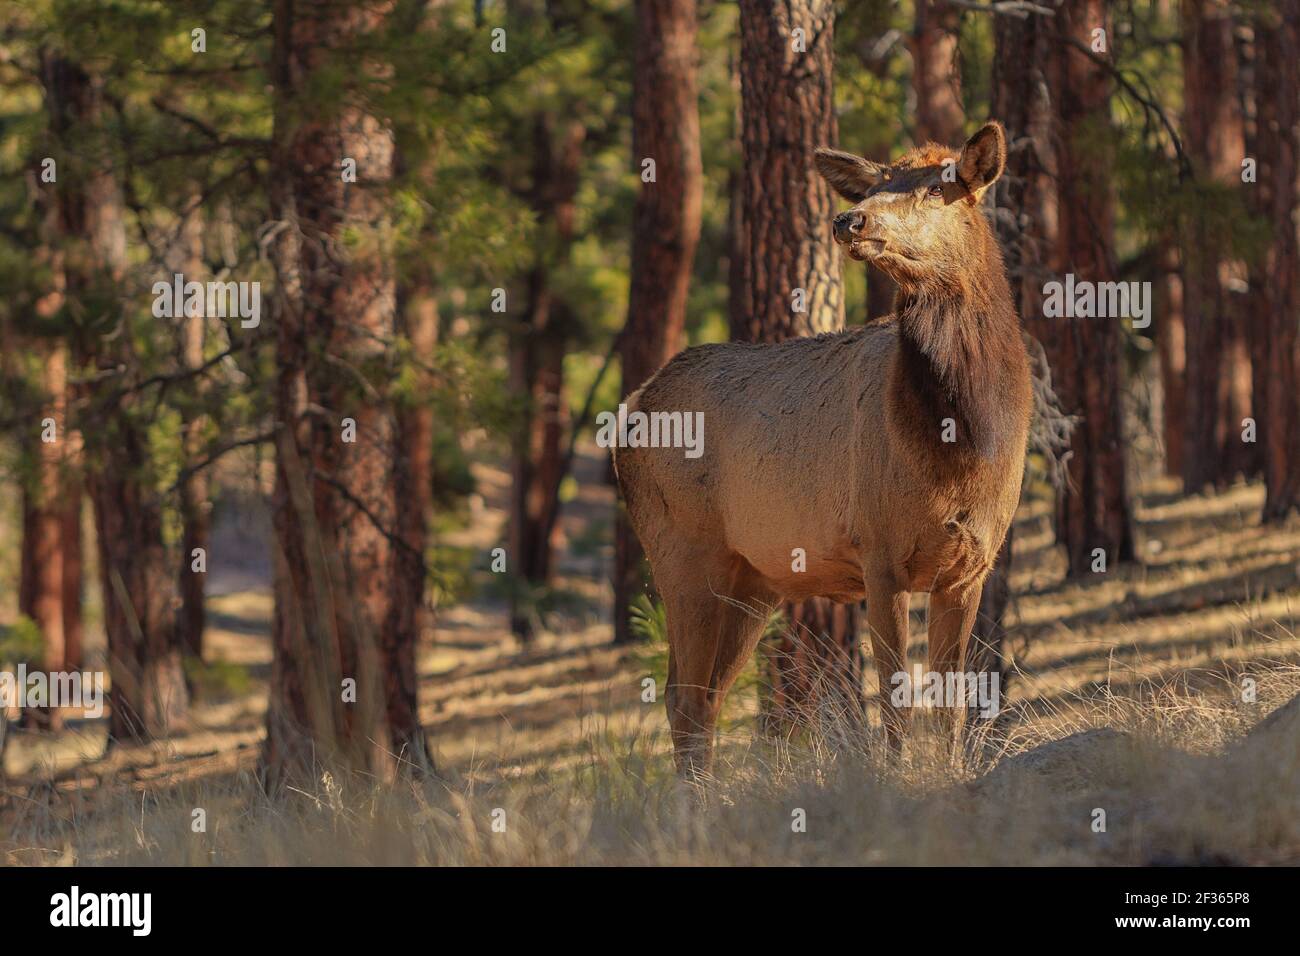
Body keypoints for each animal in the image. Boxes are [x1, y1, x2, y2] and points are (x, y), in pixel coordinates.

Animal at [613, 121, 1029, 780]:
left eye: (939, 187)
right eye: (879, 181)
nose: (848, 219)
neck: (961, 444)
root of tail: (628, 412)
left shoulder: (971, 566)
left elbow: (953, 703)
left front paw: (953, 775)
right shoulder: (880, 552)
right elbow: (894, 697)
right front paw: (895, 779)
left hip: (752, 581)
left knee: (706, 697)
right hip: (680, 549)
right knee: (682, 697)